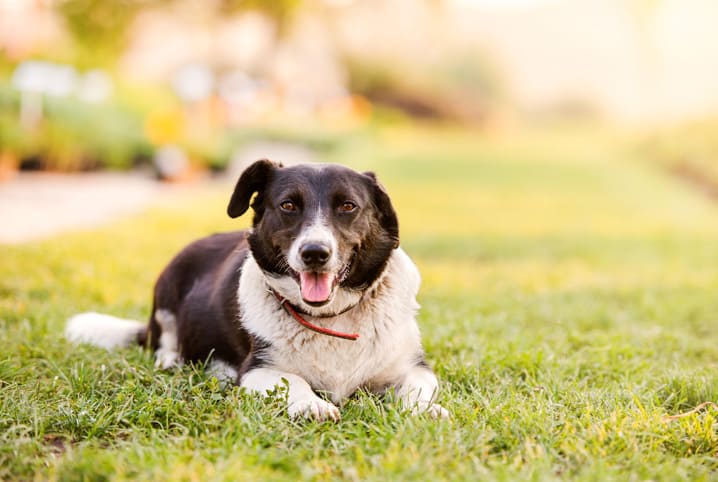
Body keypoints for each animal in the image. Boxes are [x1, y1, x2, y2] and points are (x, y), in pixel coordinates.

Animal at [69, 160, 450, 420]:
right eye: (288, 205)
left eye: (348, 206)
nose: (314, 253)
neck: (331, 317)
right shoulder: (257, 370)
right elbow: (293, 381)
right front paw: (311, 404)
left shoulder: (414, 367)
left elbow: (417, 389)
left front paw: (425, 412)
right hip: (168, 285)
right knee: (165, 336)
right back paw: (171, 359)